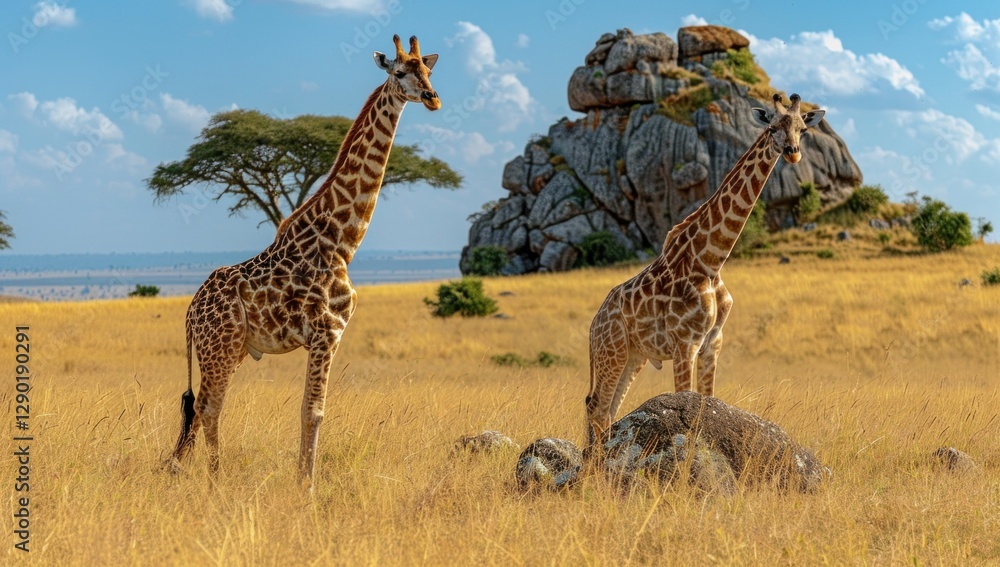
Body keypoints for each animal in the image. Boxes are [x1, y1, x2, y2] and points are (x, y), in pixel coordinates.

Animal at [164, 35, 441, 491]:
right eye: (400, 72)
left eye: (429, 71)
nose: (434, 98)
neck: (343, 241)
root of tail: (190, 313)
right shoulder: (327, 332)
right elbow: (313, 411)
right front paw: (305, 487)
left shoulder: (327, 335)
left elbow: (311, 411)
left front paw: (303, 481)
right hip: (219, 347)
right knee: (208, 407)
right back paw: (216, 480)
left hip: (233, 350)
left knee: (202, 407)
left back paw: (189, 472)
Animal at [584, 93, 825, 444]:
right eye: (772, 128)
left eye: (803, 129)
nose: (793, 153)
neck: (711, 262)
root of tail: (593, 324)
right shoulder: (685, 343)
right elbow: (685, 408)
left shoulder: (713, 343)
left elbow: (707, 405)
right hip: (611, 350)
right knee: (598, 409)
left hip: (633, 355)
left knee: (606, 409)